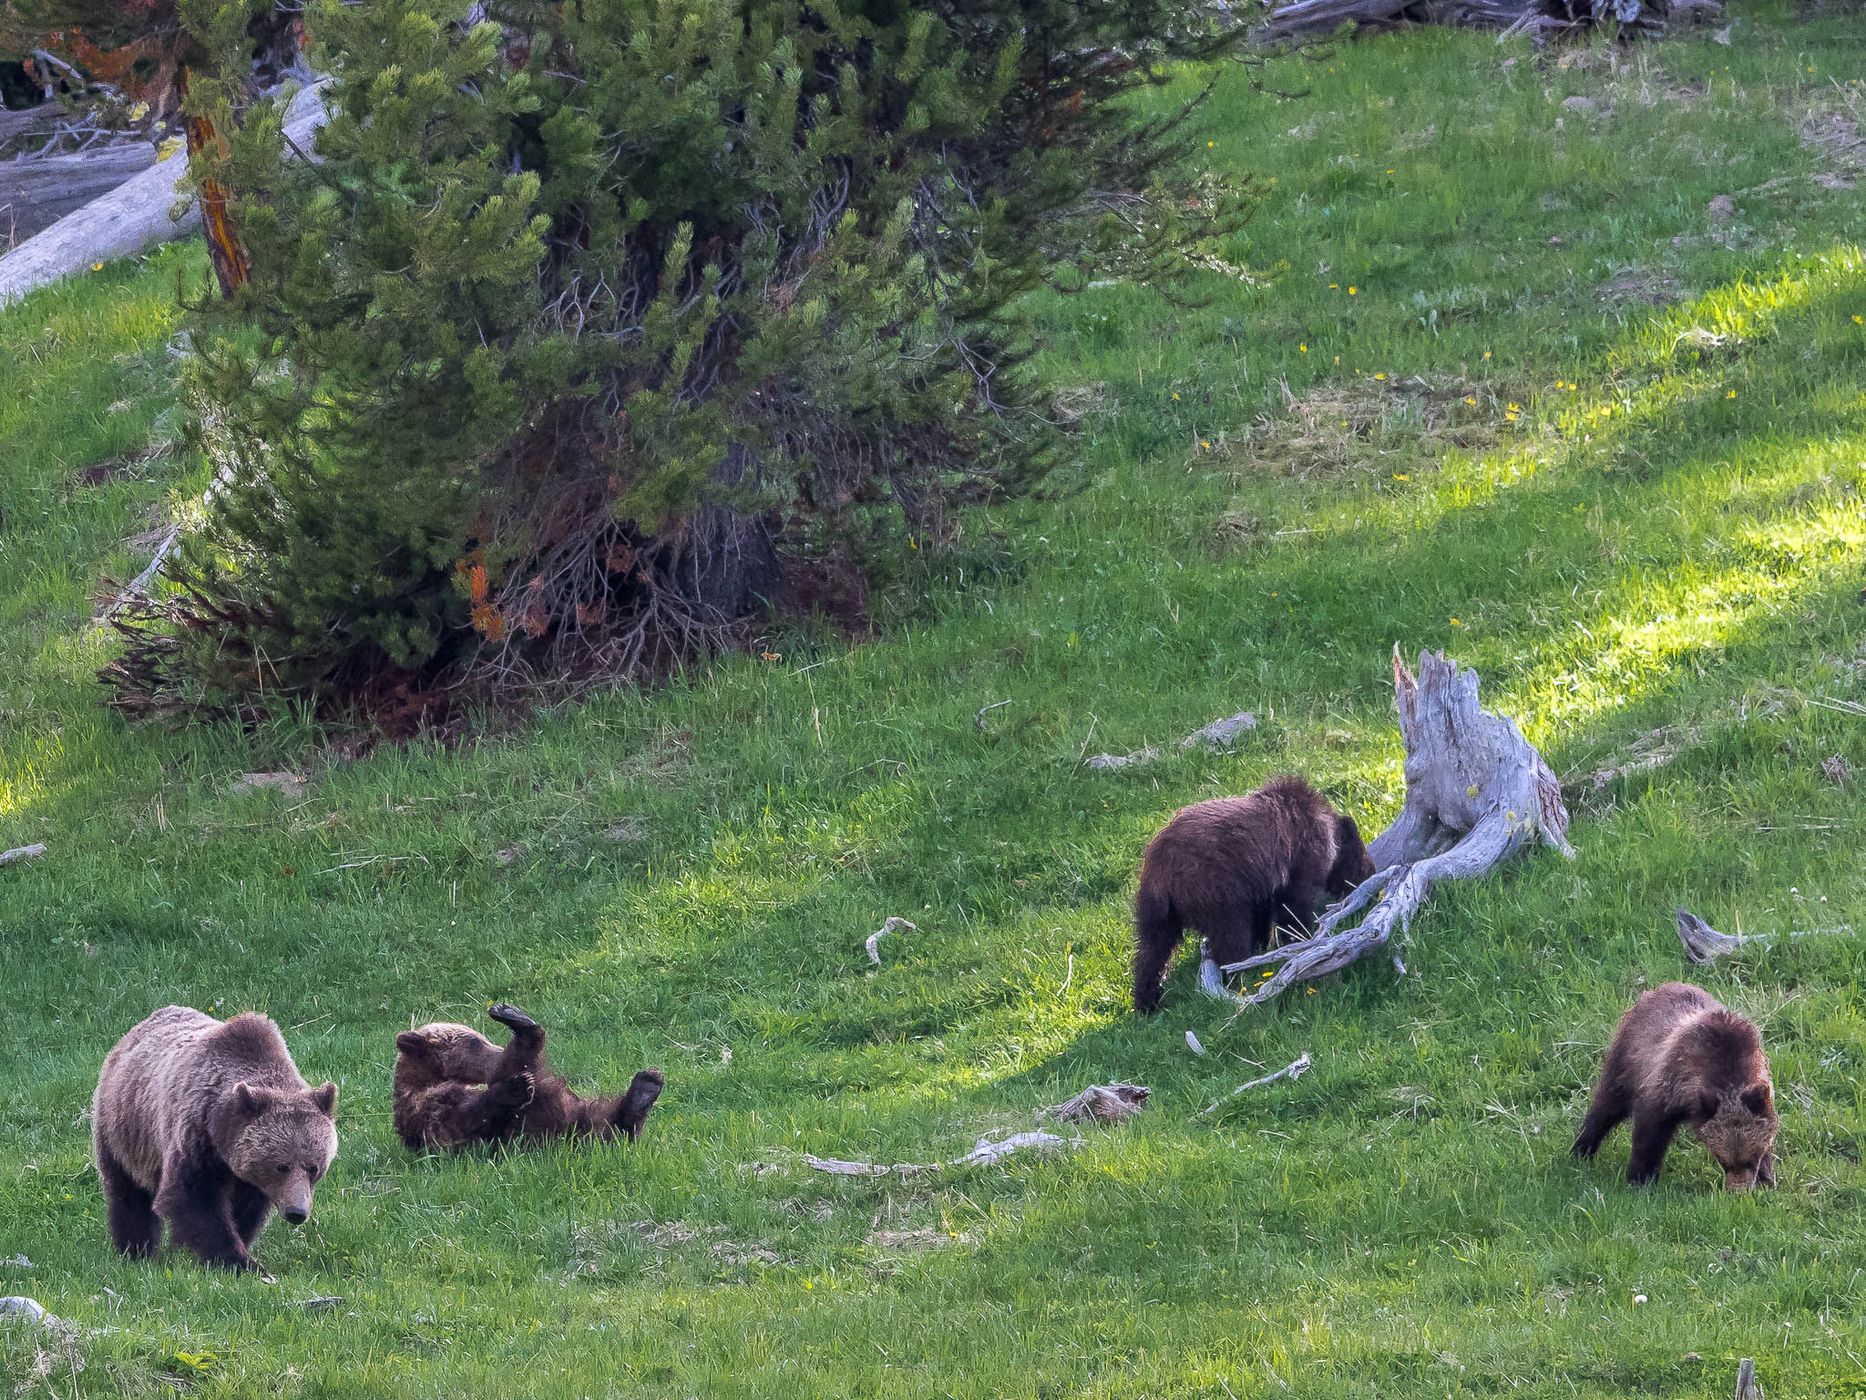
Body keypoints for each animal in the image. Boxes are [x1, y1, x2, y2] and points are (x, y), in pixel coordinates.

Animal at [92, 1006, 338, 1273]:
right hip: (125, 1129)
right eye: (282, 1166)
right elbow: (195, 1198)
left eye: (314, 1168)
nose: (297, 1212)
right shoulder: (196, 1137)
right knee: (128, 1192)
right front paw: (239, 1261)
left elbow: (245, 1210)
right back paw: (135, 1250)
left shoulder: (249, 1175)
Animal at [392, 1002, 663, 1152]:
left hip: (582, 1116)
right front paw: (516, 1087)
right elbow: (463, 1120)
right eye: (474, 1041)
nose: (498, 1050)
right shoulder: (426, 1110)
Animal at [1131, 775, 1374, 1013]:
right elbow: (1294, 906)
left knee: (1152, 948)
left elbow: (1263, 916)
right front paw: (1298, 937)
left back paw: (1147, 1001)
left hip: (1154, 904)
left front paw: (1263, 944)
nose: (1370, 878)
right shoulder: (1298, 859)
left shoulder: (1260, 884)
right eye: (1362, 864)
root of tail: (1165, 870)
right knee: (1231, 936)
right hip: (1215, 891)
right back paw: (1237, 976)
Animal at [1572, 981, 1778, 1191]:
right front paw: (1640, 1179)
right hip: (1626, 1061)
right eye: (1723, 1160)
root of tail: (1659, 988)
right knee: (1606, 1107)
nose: (1738, 1189)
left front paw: (1765, 1178)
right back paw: (1581, 1150)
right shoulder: (1668, 1083)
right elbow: (1649, 1133)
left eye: (1751, 1158)